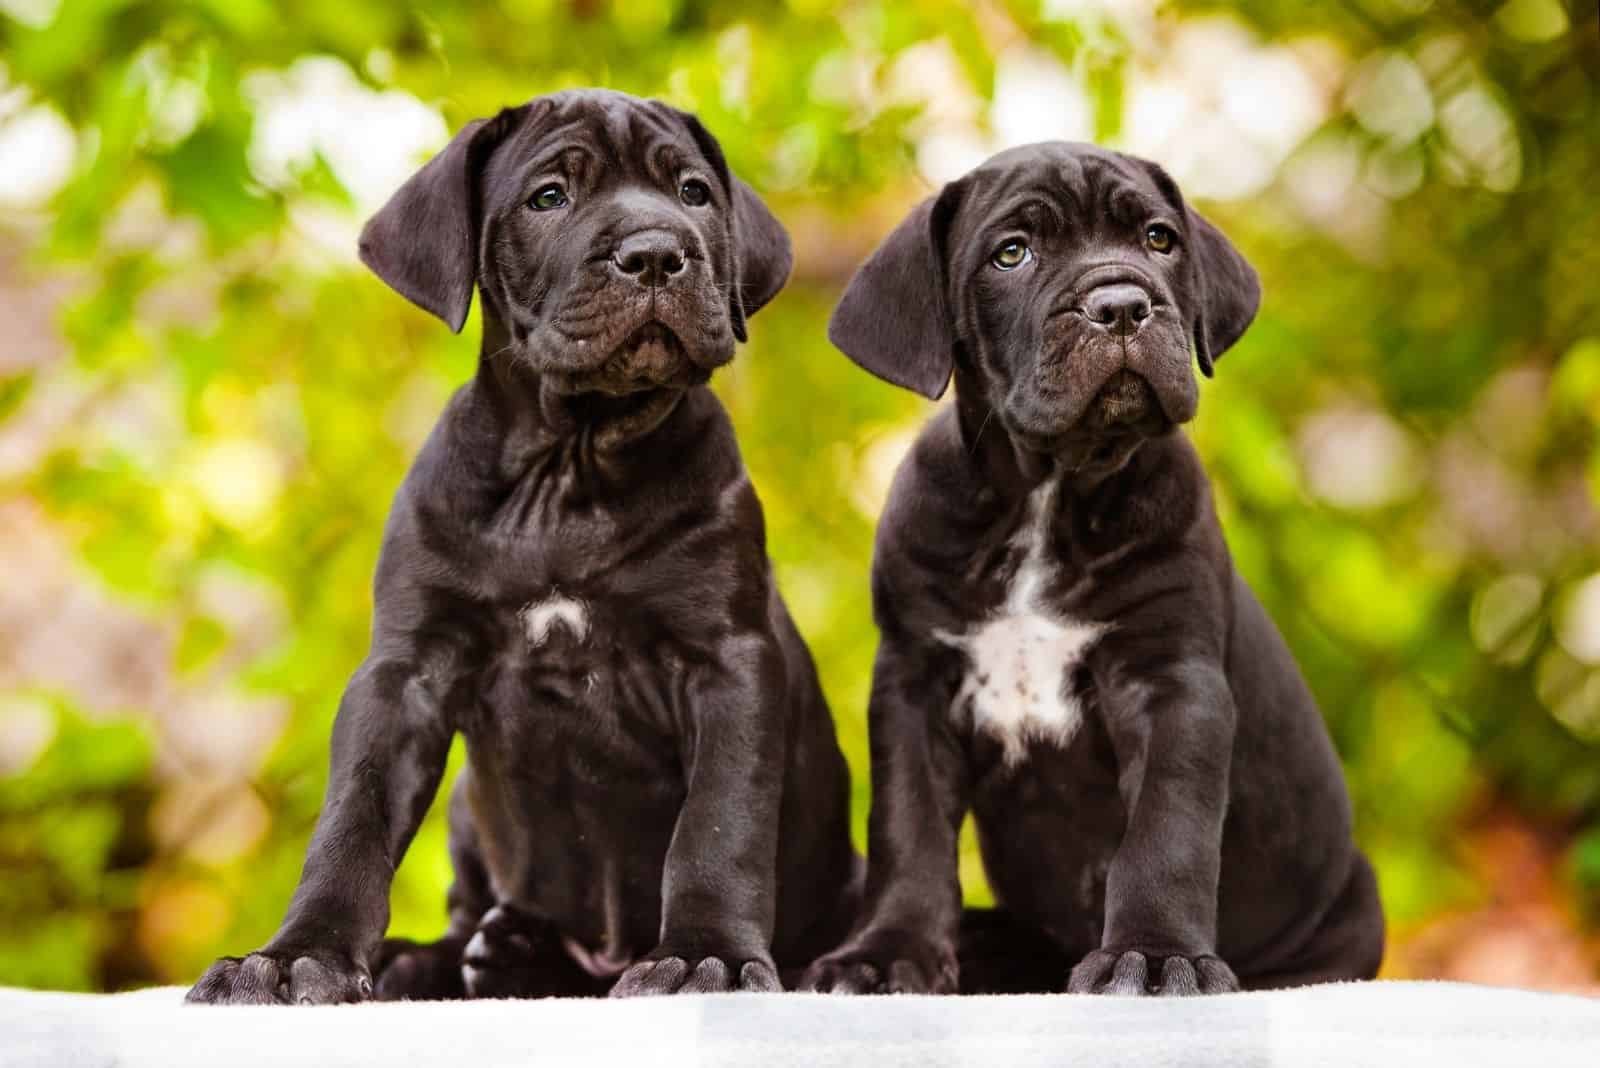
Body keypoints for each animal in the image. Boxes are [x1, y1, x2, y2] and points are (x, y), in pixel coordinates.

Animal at [184, 89, 864, 1004]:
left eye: (693, 193)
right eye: (549, 197)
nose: (658, 253)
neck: (568, 469)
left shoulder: (729, 664)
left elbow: (717, 827)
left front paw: (706, 956)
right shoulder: (404, 673)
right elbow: (352, 820)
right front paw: (299, 957)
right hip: (469, 806)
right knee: (467, 911)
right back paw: (455, 955)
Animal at [806, 139, 1382, 991]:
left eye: (1158, 239)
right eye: (1012, 253)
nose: (1120, 304)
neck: (1048, 493)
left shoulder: (1172, 683)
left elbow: (1165, 834)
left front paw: (1156, 955)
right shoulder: (913, 686)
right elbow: (908, 829)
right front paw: (886, 953)